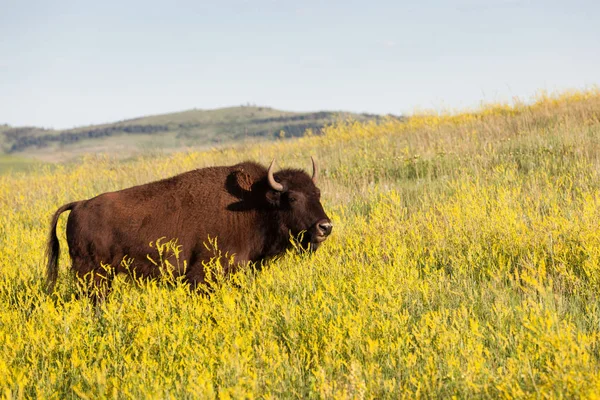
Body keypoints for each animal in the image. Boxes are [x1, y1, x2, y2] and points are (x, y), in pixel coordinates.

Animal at [46, 158, 332, 298]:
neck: (256, 203)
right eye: (292, 197)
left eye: (318, 193)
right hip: (92, 274)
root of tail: (79, 205)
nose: (325, 227)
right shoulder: (202, 275)